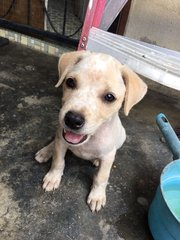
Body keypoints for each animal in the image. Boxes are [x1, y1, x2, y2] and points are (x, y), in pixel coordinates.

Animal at [35, 50, 148, 212]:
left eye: (109, 97)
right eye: (70, 82)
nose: (73, 119)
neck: (90, 139)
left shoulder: (108, 157)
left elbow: (101, 177)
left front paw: (97, 196)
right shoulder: (62, 142)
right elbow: (58, 161)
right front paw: (53, 177)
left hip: (122, 138)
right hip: (59, 133)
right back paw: (46, 151)